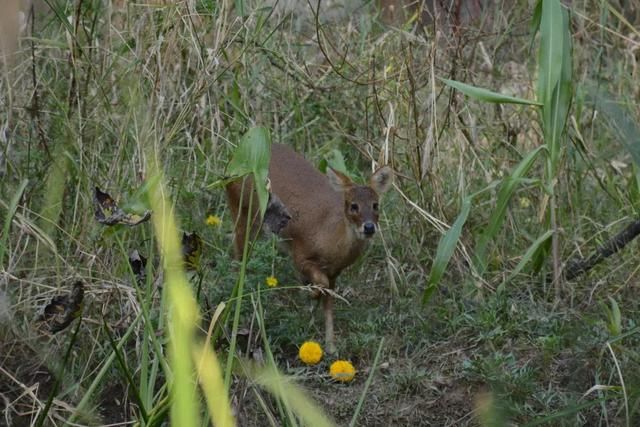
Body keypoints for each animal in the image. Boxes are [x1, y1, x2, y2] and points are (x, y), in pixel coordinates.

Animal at [225, 144, 396, 354]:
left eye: (376, 205)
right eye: (353, 205)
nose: (369, 227)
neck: (328, 240)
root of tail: (234, 157)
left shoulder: (334, 273)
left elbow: (329, 303)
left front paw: (330, 346)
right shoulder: (300, 254)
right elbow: (319, 285)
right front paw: (311, 294)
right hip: (242, 209)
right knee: (238, 252)